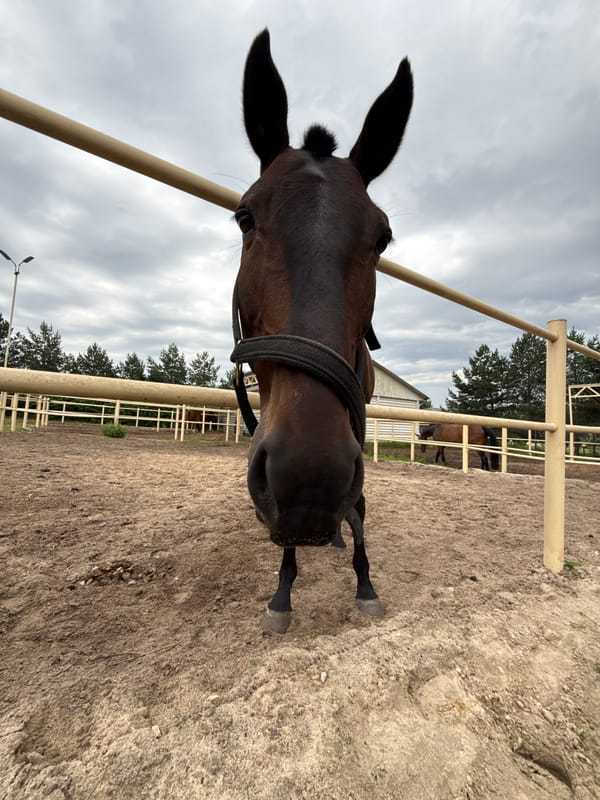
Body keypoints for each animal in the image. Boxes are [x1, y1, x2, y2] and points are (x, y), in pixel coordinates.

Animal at [230, 30, 413, 633]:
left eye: (382, 238)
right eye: (245, 217)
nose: (310, 477)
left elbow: (359, 506)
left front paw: (365, 584)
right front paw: (282, 594)